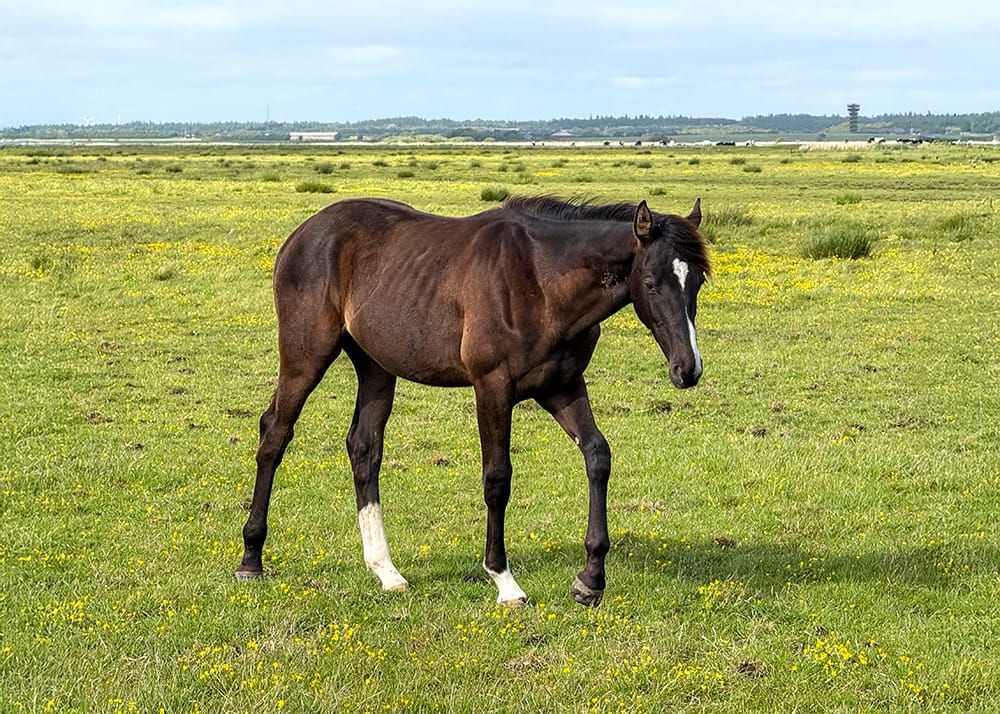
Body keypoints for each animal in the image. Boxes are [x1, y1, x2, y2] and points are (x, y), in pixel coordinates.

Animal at [236, 195, 711, 607]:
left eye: (698, 281)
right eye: (650, 283)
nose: (687, 369)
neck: (540, 280)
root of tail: (301, 236)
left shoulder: (563, 386)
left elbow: (598, 456)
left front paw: (590, 579)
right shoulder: (492, 387)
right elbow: (497, 479)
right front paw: (504, 581)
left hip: (375, 367)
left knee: (364, 449)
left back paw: (386, 571)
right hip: (305, 358)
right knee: (275, 434)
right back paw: (251, 558)